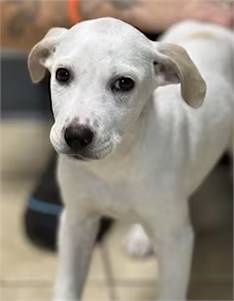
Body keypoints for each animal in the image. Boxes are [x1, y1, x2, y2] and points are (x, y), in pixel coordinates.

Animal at [27, 17, 234, 298]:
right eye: (62, 74)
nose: (76, 136)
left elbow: (171, 292)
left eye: (124, 83)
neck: (116, 163)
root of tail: (208, 26)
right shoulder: (76, 221)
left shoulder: (176, 240)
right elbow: (66, 285)